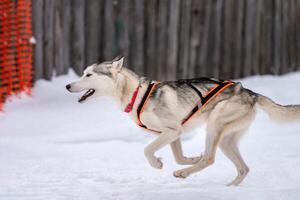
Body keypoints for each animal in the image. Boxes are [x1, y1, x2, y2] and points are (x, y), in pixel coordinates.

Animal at [66, 56, 300, 186]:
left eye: (88, 75)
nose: (67, 86)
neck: (136, 94)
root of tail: (250, 92)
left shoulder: (172, 131)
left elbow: (147, 150)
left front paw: (157, 163)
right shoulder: (173, 134)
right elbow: (179, 156)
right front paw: (191, 159)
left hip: (214, 126)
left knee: (210, 159)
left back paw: (183, 173)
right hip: (226, 140)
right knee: (243, 168)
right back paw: (229, 188)